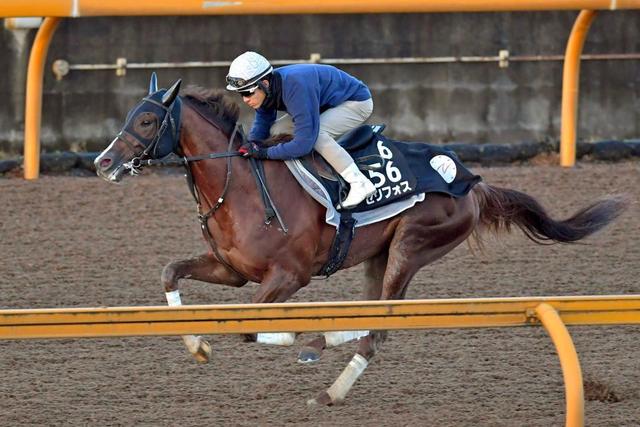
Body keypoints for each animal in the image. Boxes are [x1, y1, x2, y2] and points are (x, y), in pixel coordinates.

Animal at [94, 75, 624, 406]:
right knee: (372, 322)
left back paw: (323, 368)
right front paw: (197, 346)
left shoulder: (290, 277)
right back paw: (325, 357)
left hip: (412, 246)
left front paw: (296, 339)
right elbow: (170, 272)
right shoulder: (232, 269)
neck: (239, 185)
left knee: (379, 331)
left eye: (146, 121)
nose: (102, 162)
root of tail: (471, 182)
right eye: (127, 116)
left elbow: (246, 329)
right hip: (380, 255)